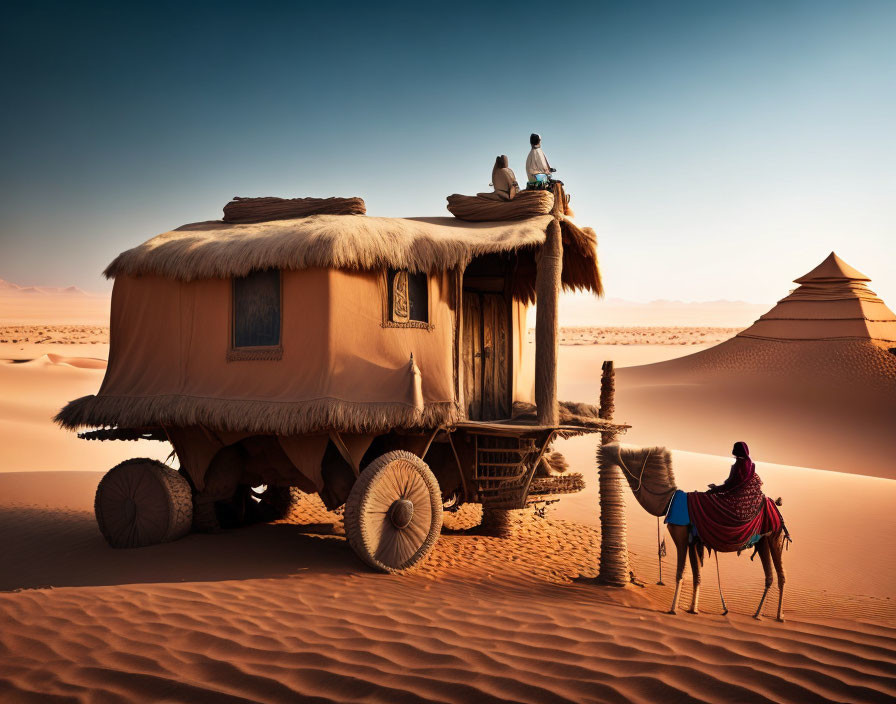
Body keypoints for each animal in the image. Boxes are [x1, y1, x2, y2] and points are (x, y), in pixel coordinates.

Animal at [600, 446, 784, 620]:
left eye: (617, 451)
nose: (603, 450)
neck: (669, 501)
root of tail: (775, 505)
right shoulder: (693, 542)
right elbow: (697, 575)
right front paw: (692, 609)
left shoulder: (681, 537)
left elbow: (679, 572)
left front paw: (673, 609)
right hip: (762, 541)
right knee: (770, 576)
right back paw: (759, 614)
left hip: (774, 537)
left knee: (781, 575)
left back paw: (778, 617)